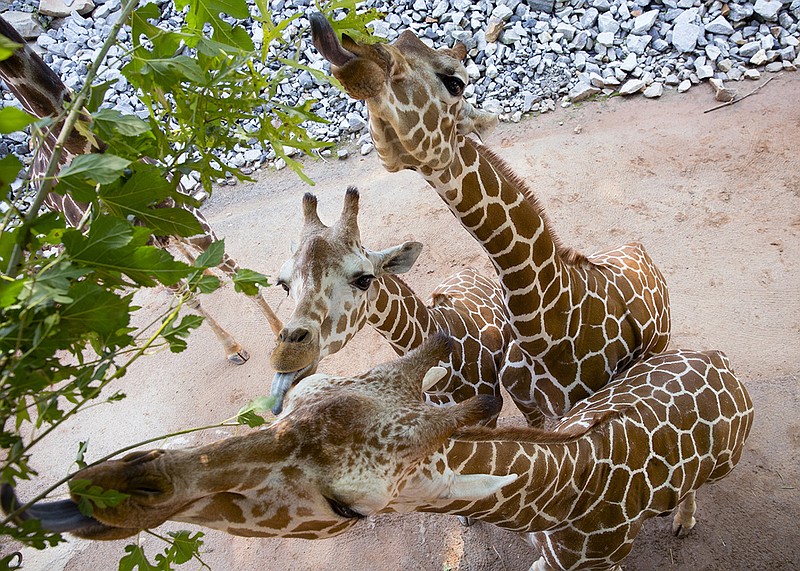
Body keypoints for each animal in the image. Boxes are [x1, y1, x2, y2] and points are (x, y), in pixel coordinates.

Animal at [0, 15, 282, 364]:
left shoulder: (191, 220)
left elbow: (238, 274)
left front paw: (280, 333)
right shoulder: (138, 251)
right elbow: (189, 299)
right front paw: (233, 349)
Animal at [4, 336, 756, 571]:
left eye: (349, 507)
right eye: (301, 396)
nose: (110, 492)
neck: (566, 498)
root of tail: (723, 362)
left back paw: (683, 521)